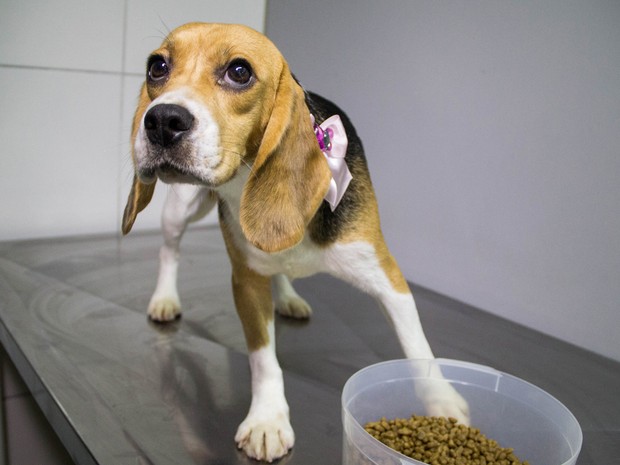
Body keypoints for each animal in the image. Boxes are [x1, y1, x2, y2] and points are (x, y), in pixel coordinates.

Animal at [123, 22, 468, 460]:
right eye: (157, 67)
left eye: (239, 71)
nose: (163, 119)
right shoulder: (246, 281)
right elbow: (263, 360)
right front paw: (267, 420)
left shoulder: (386, 275)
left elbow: (417, 344)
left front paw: (442, 402)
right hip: (180, 209)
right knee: (170, 250)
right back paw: (164, 299)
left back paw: (287, 297)